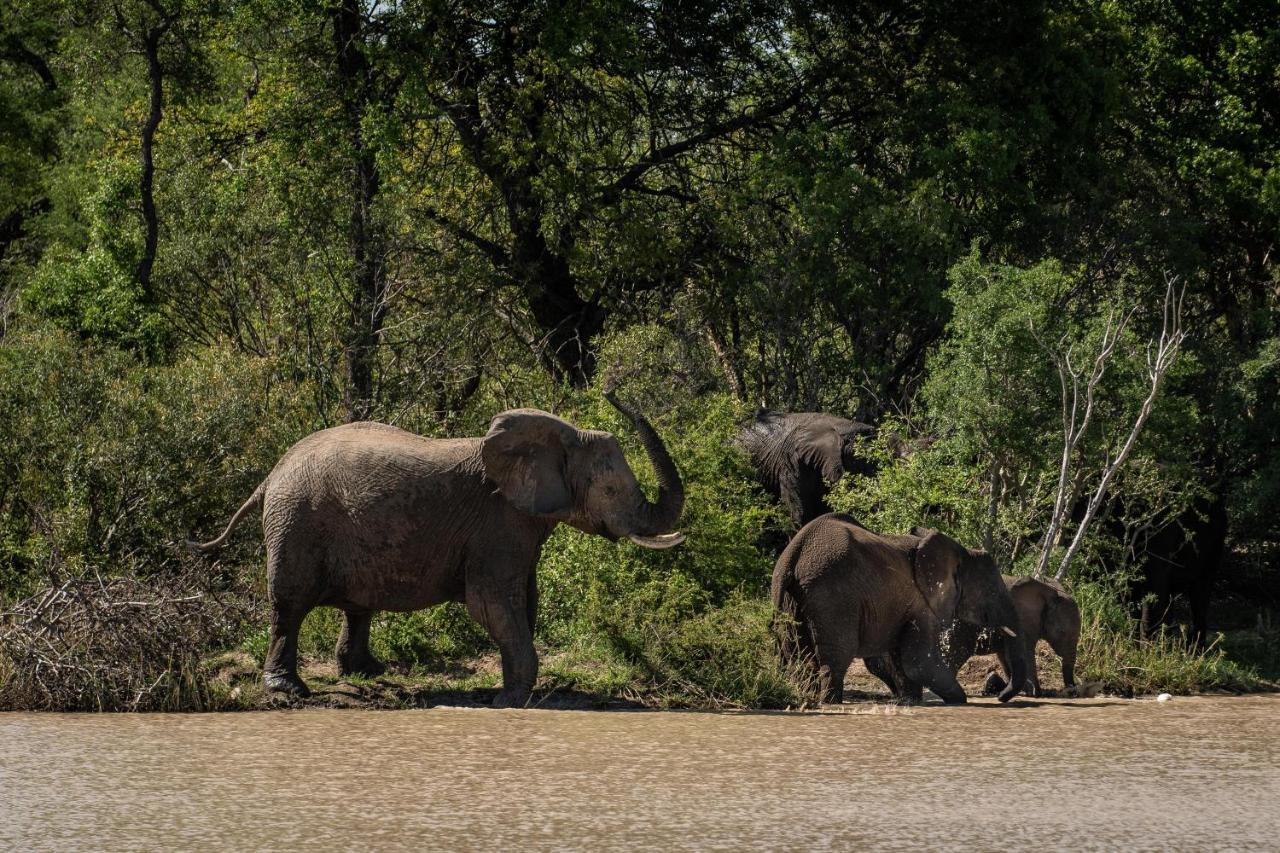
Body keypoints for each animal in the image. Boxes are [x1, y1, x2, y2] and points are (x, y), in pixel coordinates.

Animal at [186, 389, 686, 701]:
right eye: (612, 491)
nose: (611, 389)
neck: (561, 435)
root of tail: (271, 474)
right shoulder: (497, 523)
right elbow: (492, 603)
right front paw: (510, 699)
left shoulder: (519, 526)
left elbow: (525, 599)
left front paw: (512, 692)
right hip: (296, 522)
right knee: (288, 605)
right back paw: (289, 689)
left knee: (357, 605)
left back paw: (368, 672)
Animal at [768, 512, 1029, 701]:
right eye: (992, 591)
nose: (999, 697)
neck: (959, 552)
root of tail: (793, 554)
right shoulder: (922, 603)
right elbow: (917, 662)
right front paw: (959, 700)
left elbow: (900, 661)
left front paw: (911, 702)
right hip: (832, 598)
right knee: (835, 659)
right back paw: (830, 702)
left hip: (791, 601)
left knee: (799, 659)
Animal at [865, 571, 1075, 696]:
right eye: (1062, 632)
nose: (1072, 692)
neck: (1048, 589)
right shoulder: (1022, 621)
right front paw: (1035, 693)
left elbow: (1006, 656)